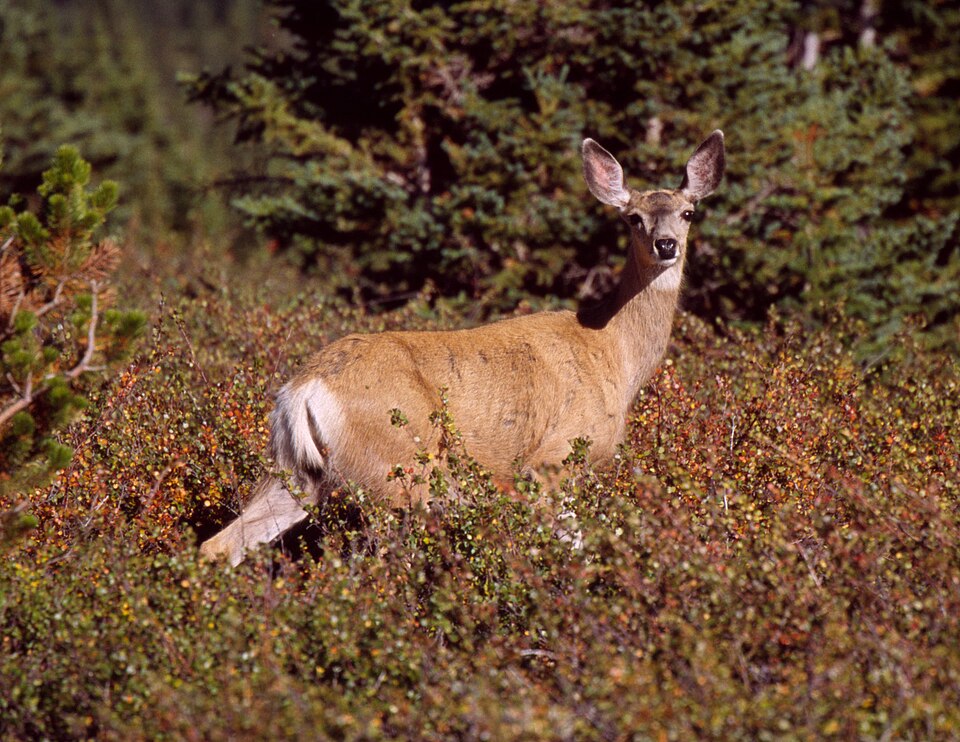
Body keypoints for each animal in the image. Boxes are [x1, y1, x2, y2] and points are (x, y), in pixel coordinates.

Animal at [200, 130, 725, 566]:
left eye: (688, 213)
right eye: (633, 217)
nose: (666, 245)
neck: (612, 350)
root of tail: (302, 390)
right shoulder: (552, 460)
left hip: (296, 472)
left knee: (220, 545)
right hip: (394, 470)